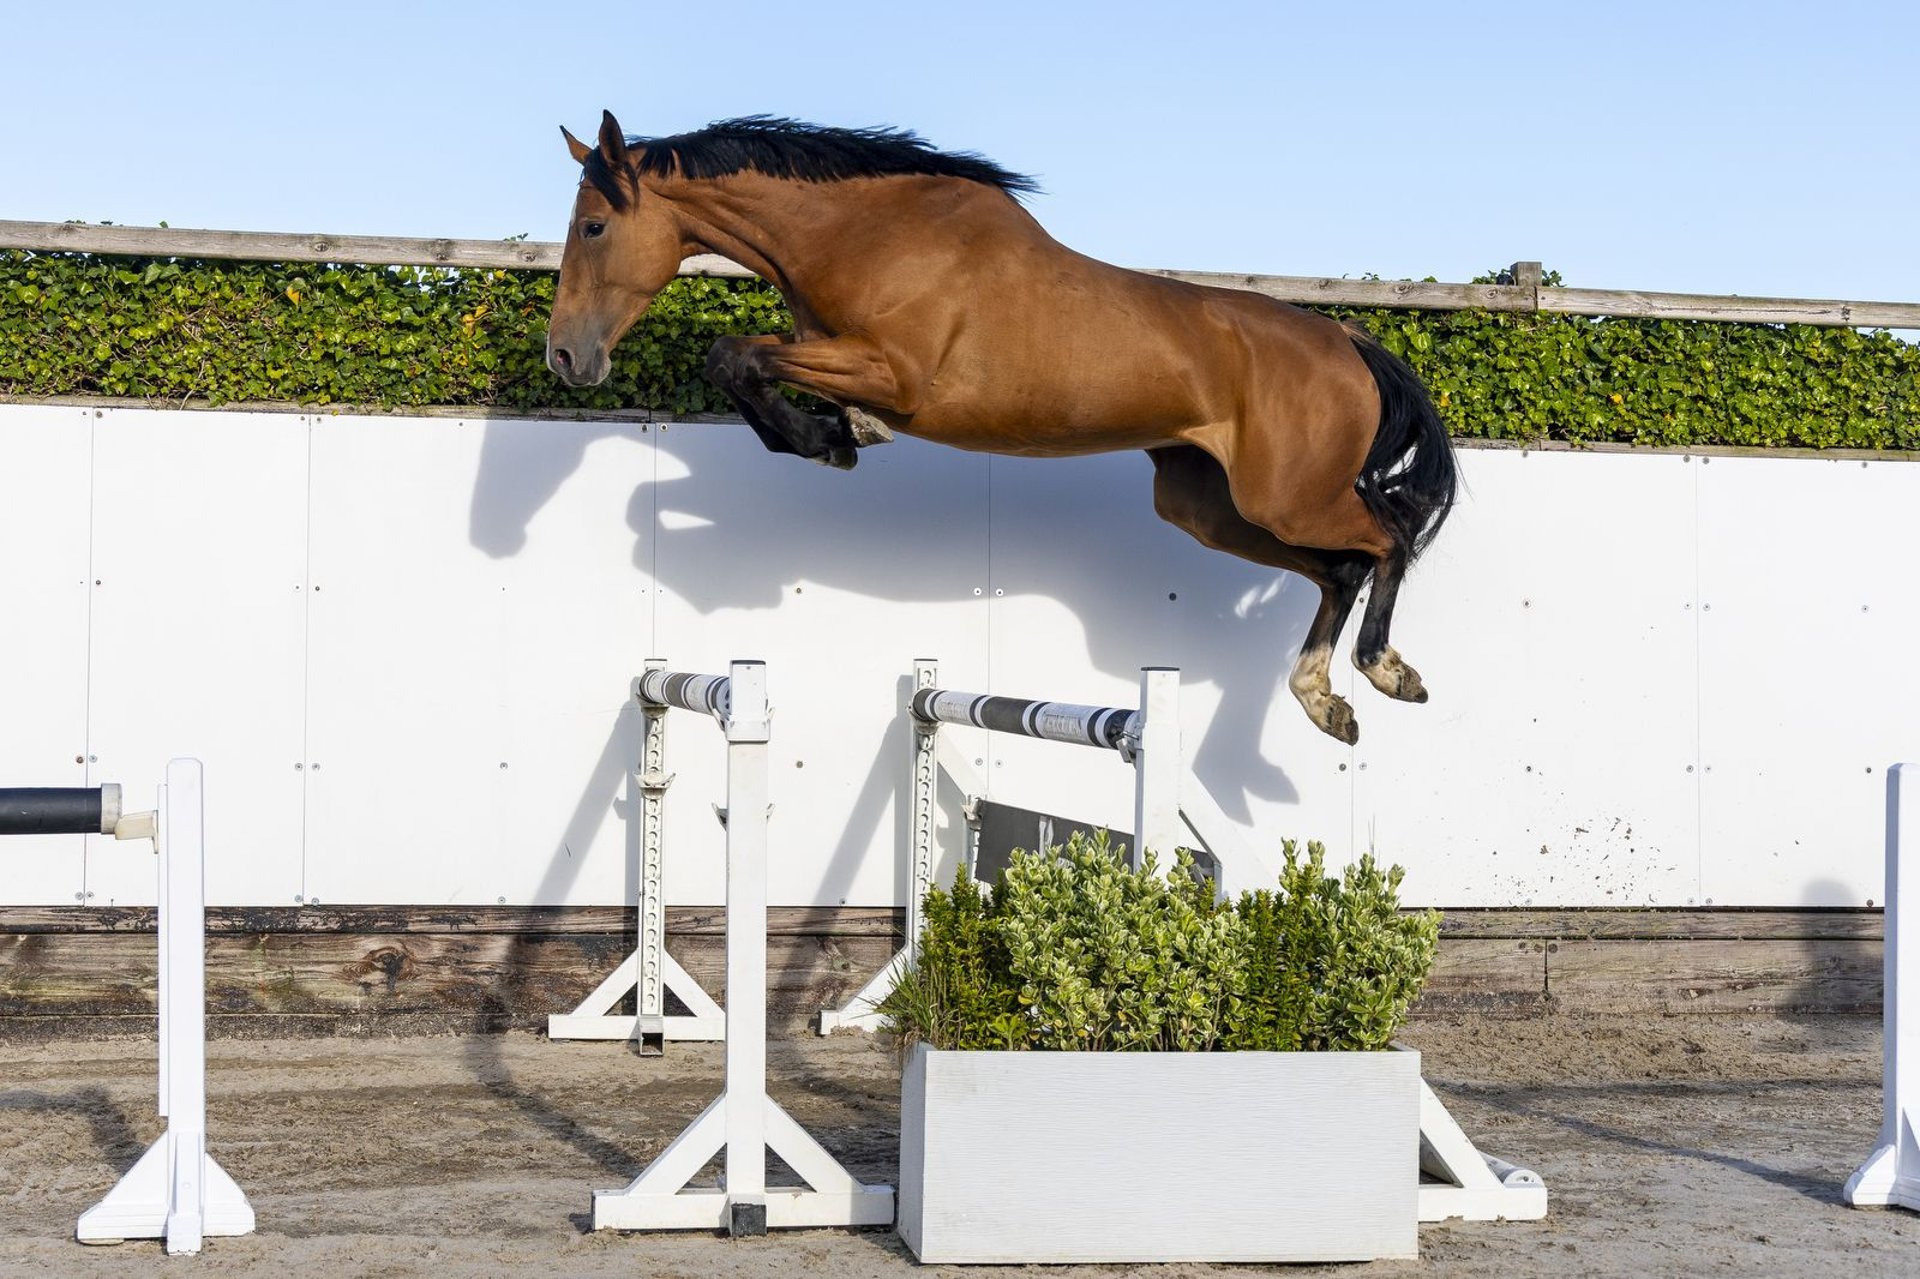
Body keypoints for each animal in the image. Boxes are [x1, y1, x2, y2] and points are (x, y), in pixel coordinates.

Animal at [545, 112, 1458, 745]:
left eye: (593, 226)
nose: (565, 357)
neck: (862, 234)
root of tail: (1346, 339)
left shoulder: (894, 374)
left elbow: (733, 355)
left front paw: (834, 439)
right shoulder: (834, 357)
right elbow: (742, 367)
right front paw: (835, 437)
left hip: (1286, 498)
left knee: (1389, 536)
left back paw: (1386, 672)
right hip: (1208, 508)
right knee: (1341, 567)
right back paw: (1323, 699)